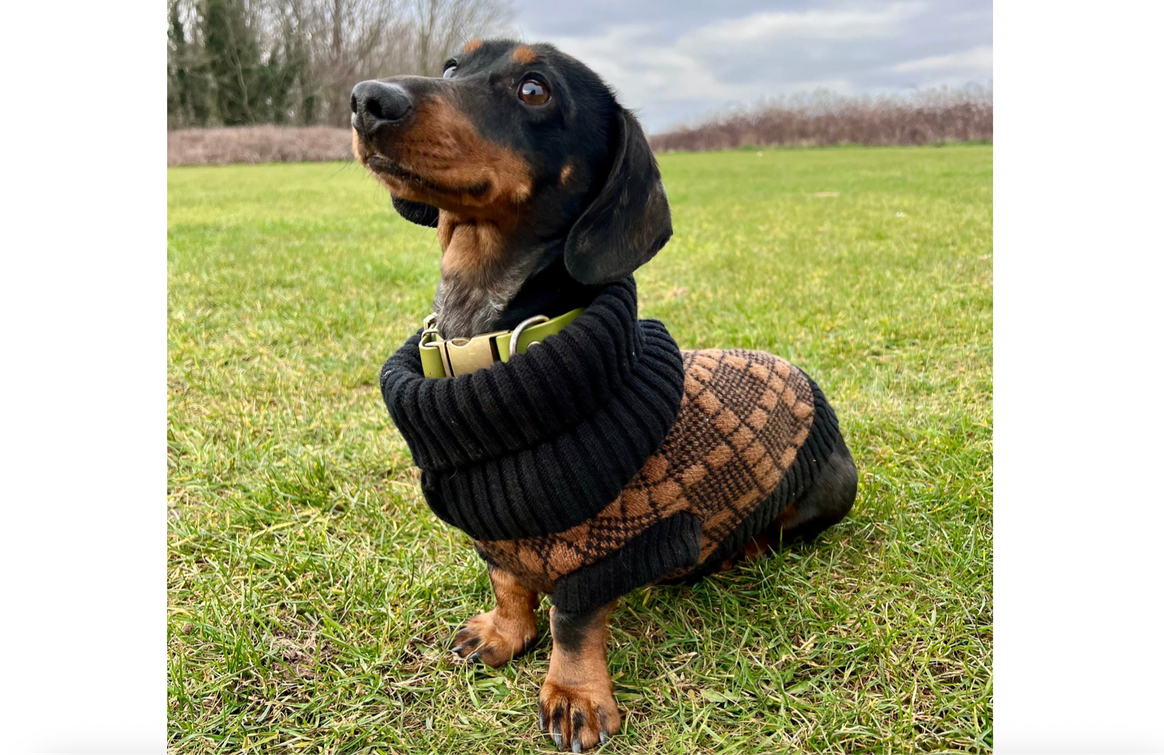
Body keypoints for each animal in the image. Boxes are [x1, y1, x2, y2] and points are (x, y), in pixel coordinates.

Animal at [351, 39, 856, 749]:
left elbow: (572, 621)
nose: (368, 99)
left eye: (535, 90)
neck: (492, 342)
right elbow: (507, 582)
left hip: (828, 491)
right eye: (452, 66)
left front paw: (574, 694)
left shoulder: (598, 550)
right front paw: (503, 634)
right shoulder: (495, 534)